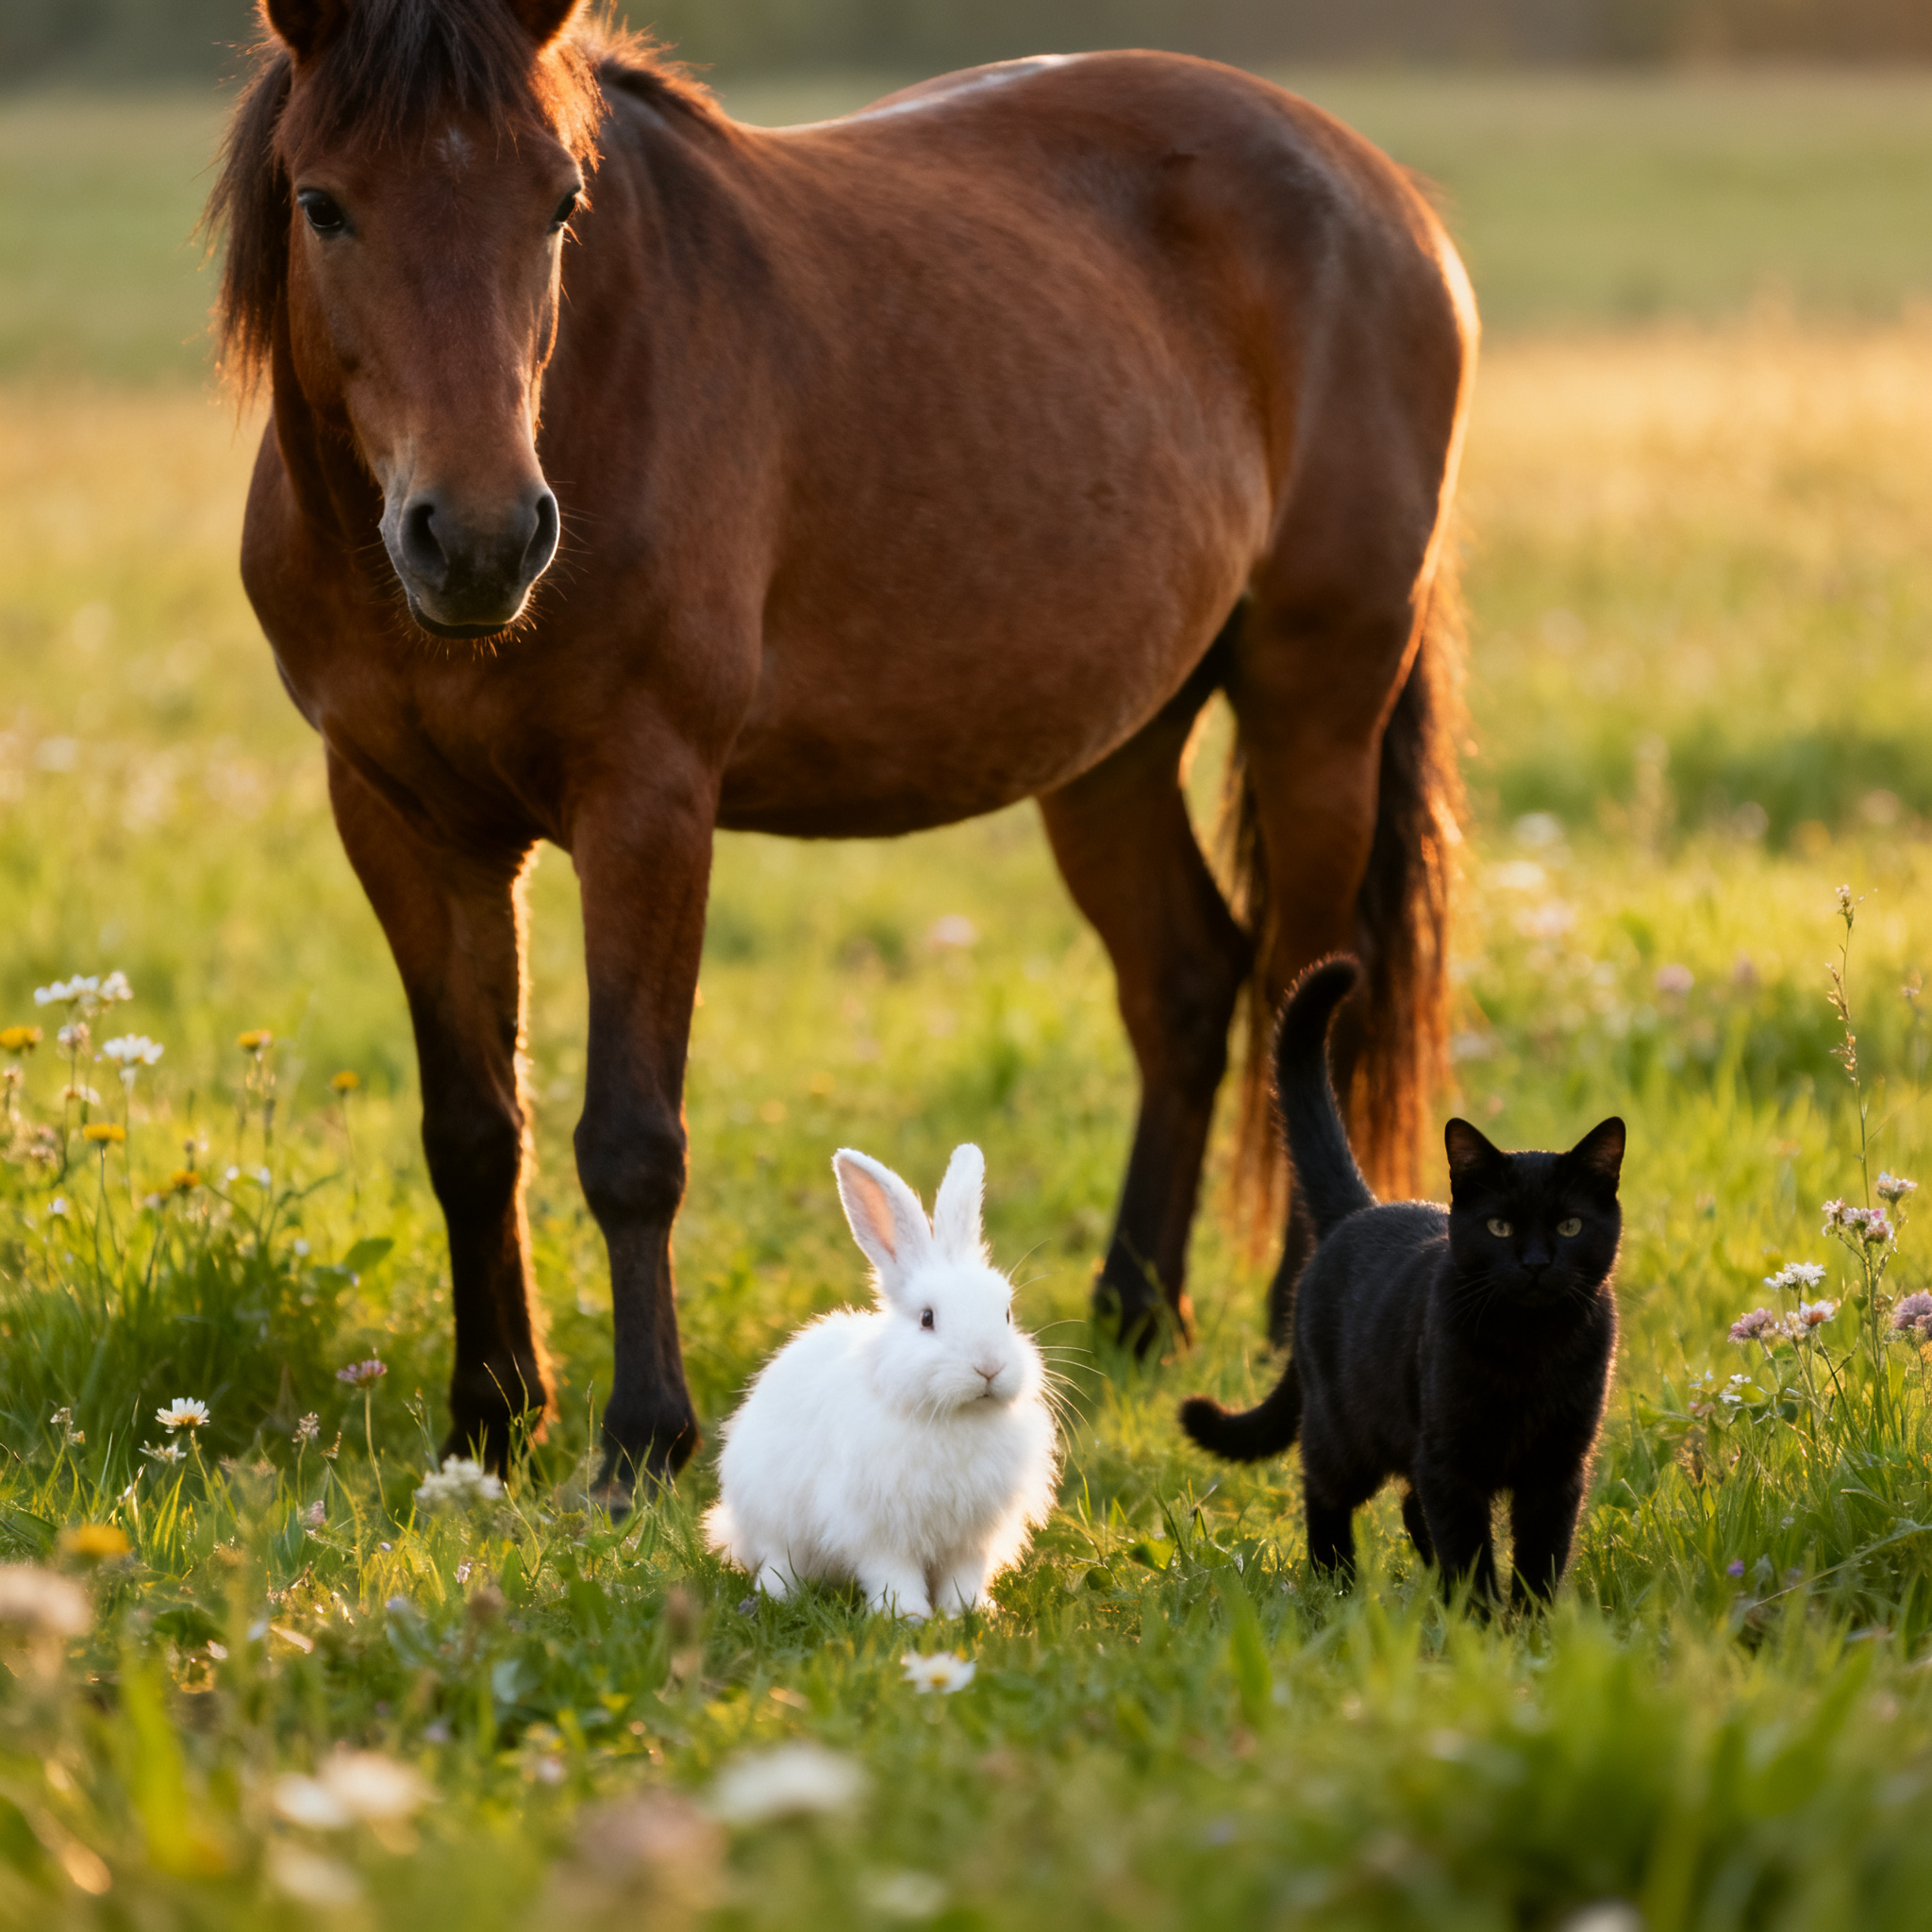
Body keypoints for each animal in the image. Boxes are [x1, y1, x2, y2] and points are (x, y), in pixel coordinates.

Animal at [207, 0, 1474, 1504]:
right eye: (323, 203)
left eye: (559, 202)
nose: (478, 540)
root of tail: (1385, 196)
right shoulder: (401, 818)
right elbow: (472, 1130)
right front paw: (489, 1425)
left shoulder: (647, 800)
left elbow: (629, 1138)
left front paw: (641, 1441)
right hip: (1111, 748)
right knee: (1184, 979)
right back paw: (1130, 1312)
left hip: (1317, 702)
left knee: (1302, 991)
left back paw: (1295, 1321)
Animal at [704, 1143, 1059, 1620]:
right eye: (927, 1318)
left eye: (1005, 1314)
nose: (989, 1367)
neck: (953, 1417)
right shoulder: (879, 1530)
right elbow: (893, 1573)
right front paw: (906, 1618)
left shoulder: (969, 1539)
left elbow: (963, 1576)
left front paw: (971, 1614)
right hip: (775, 1520)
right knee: (780, 1560)